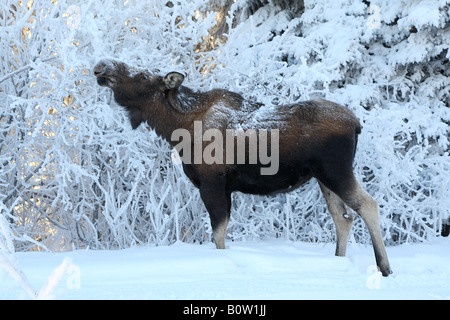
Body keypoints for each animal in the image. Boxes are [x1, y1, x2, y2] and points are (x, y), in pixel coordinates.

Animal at [94, 58, 390, 276]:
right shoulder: (225, 189)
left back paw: (384, 267)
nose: (102, 66)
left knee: (368, 205)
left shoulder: (212, 183)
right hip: (322, 178)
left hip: (335, 169)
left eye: (144, 76)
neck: (177, 129)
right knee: (342, 217)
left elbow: (218, 235)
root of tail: (356, 124)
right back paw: (339, 262)